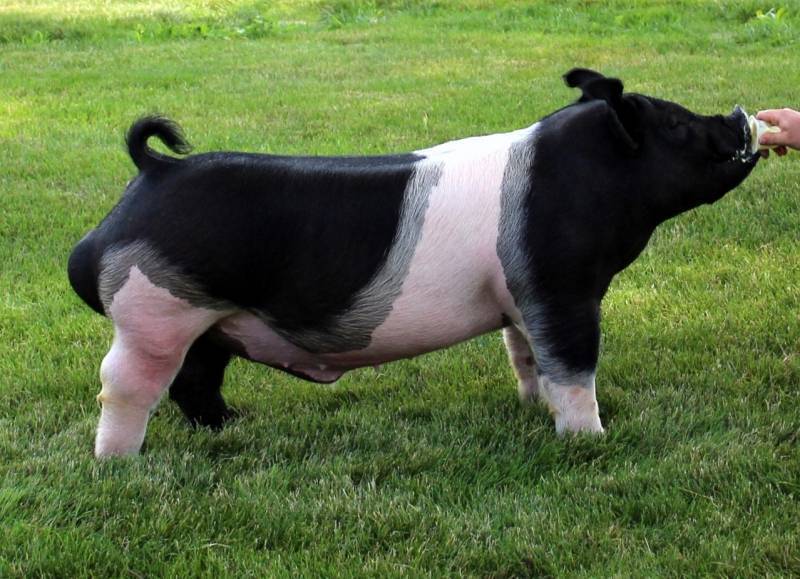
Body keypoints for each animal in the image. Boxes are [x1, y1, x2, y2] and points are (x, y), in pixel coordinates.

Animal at [68, 69, 759, 457]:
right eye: (674, 123)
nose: (737, 114)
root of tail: (154, 171)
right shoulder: (563, 288)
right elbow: (572, 366)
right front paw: (590, 440)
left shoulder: (520, 297)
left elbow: (526, 357)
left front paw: (531, 410)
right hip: (155, 313)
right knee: (124, 386)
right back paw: (118, 463)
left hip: (211, 321)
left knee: (196, 382)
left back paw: (232, 428)